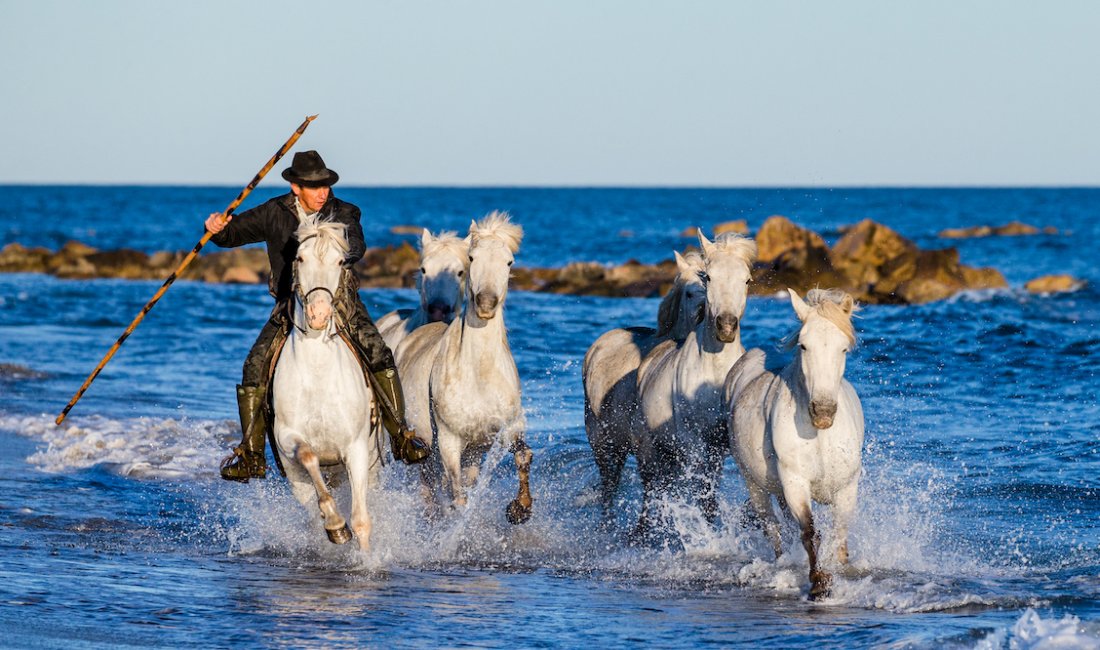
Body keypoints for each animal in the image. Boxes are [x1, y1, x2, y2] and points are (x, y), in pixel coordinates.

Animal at [270, 216, 382, 552]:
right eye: (300, 258)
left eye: (340, 261)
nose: (318, 314)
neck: (318, 372)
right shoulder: (288, 437)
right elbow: (308, 455)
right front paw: (335, 524)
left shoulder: (356, 449)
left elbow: (361, 520)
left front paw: (367, 558)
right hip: (295, 479)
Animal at [393, 211, 534, 525]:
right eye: (472, 258)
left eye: (509, 261)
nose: (486, 304)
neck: (479, 376)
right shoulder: (449, 440)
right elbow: (456, 497)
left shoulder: (508, 427)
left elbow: (523, 455)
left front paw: (520, 508)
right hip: (426, 448)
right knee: (433, 489)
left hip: (473, 452)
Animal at [585, 249, 704, 519]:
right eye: (689, 292)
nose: (705, 314)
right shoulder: (647, 447)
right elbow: (654, 489)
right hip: (601, 440)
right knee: (609, 484)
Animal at [633, 230, 761, 536]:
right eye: (709, 277)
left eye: (747, 280)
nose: (726, 326)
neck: (714, 374)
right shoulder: (692, 441)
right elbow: (700, 490)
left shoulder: (720, 444)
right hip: (655, 448)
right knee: (655, 488)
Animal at [726, 288, 862, 602]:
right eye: (803, 346)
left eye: (843, 349)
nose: (823, 412)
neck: (821, 438)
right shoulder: (795, 482)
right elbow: (810, 532)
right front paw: (819, 584)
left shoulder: (847, 487)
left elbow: (840, 533)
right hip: (754, 484)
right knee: (773, 528)